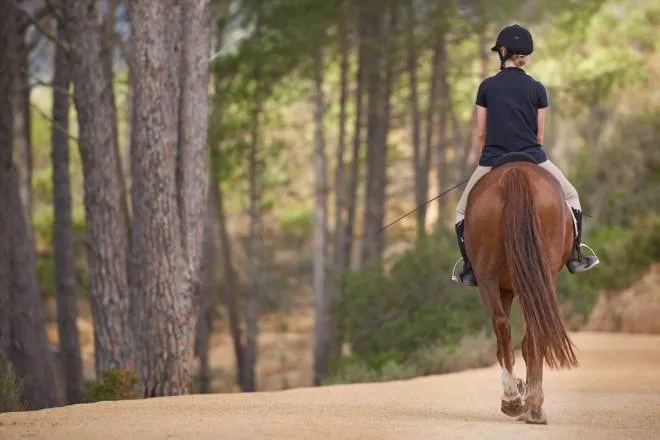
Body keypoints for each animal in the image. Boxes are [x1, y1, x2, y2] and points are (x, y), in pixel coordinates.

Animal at [462, 153, 580, 424]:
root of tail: (514, 173)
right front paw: (523, 391)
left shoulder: (504, 288)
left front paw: (518, 389)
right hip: (538, 277)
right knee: (528, 330)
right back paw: (530, 405)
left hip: (489, 277)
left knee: (503, 325)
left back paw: (516, 400)